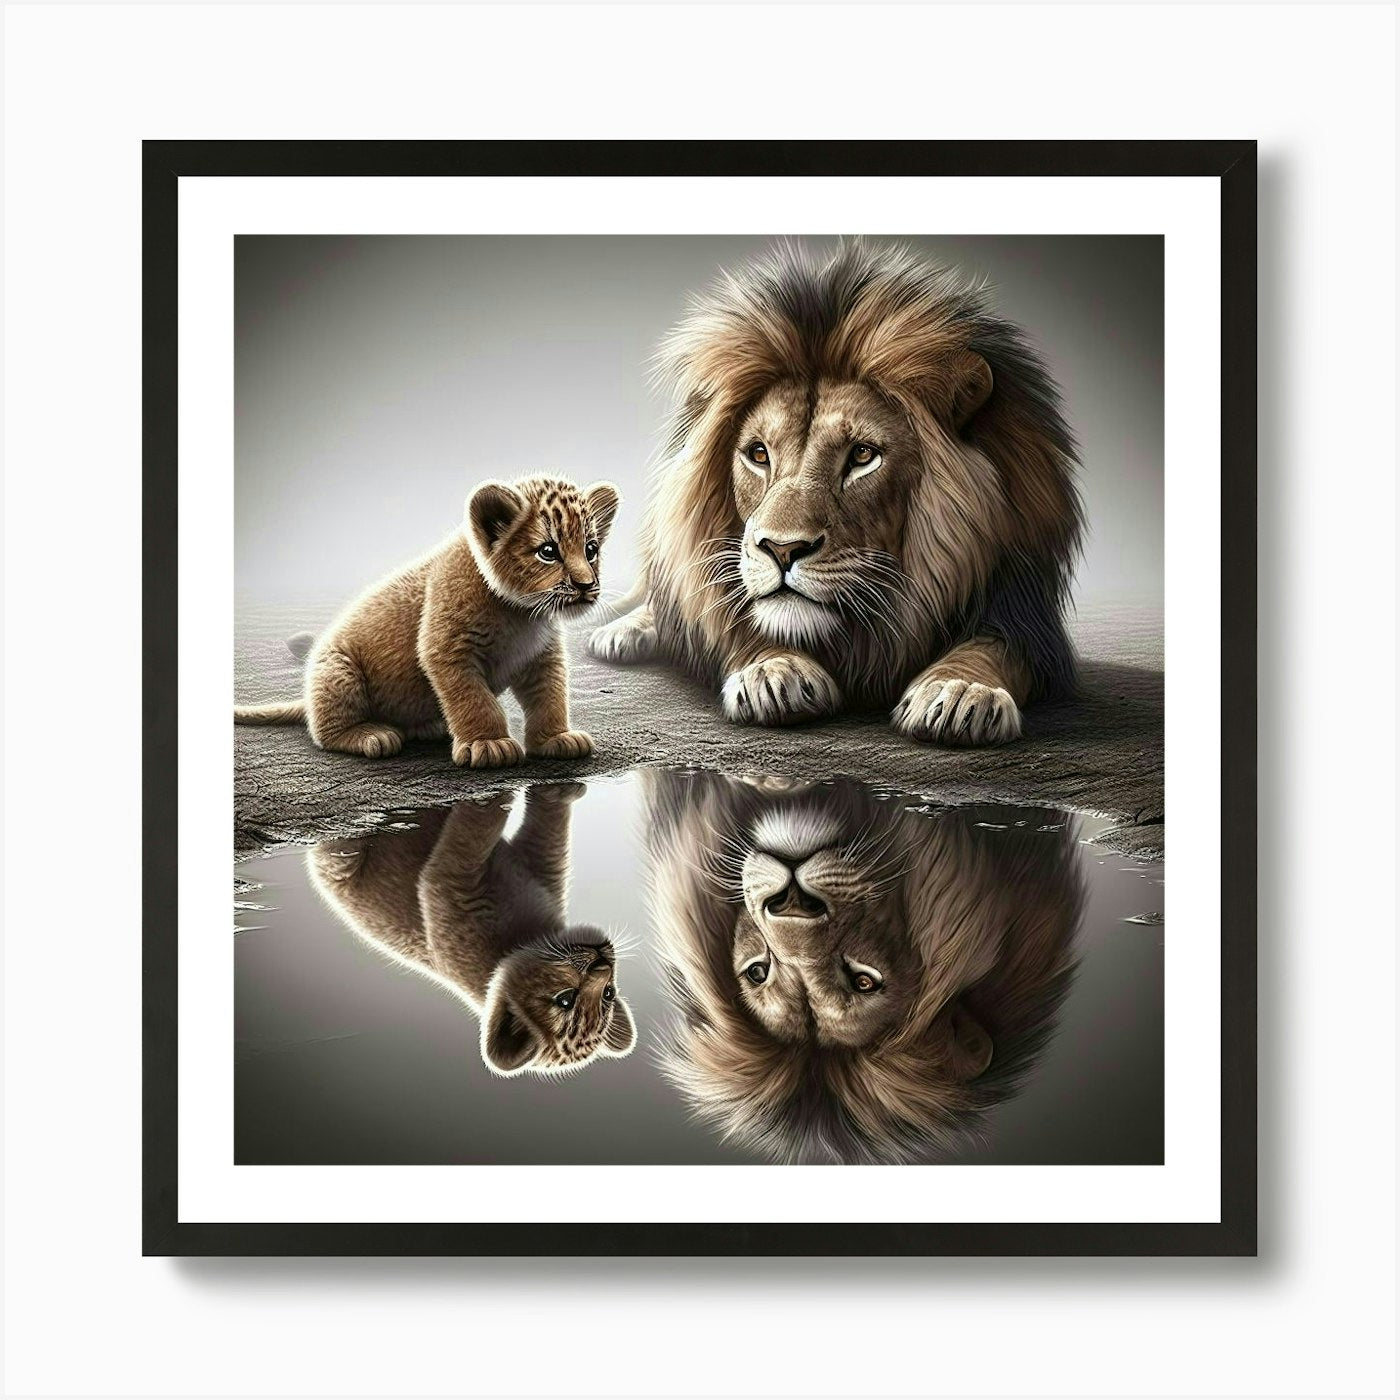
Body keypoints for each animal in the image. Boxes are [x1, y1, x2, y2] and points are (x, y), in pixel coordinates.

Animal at [308, 784, 636, 1076]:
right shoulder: (516, 868)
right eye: (566, 999)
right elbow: (537, 831)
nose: (602, 959)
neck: (528, 935)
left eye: (606, 993)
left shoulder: (460, 878)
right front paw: (542, 792)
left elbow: (496, 834)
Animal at [590, 241, 1083, 745]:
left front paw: (961, 689)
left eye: (863, 455)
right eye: (759, 454)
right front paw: (775, 672)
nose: (781, 550)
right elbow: (734, 625)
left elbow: (993, 646)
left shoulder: (1025, 614)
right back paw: (624, 632)